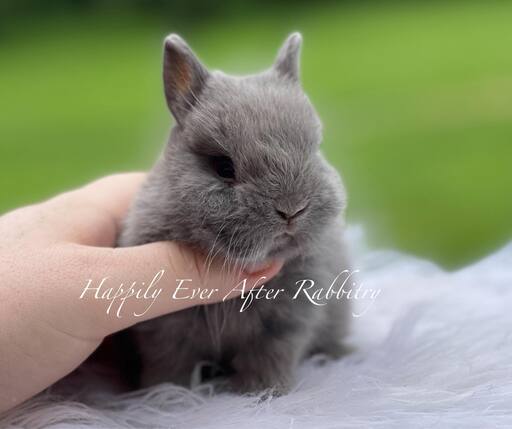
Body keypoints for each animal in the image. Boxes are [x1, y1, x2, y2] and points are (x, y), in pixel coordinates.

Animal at [119, 32, 352, 392]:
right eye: (223, 167)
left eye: (315, 149)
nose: (292, 209)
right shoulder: (164, 331)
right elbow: (170, 363)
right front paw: (166, 393)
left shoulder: (286, 324)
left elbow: (268, 356)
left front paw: (261, 391)